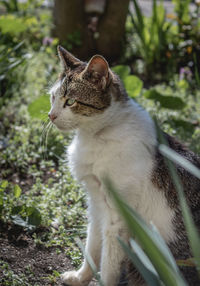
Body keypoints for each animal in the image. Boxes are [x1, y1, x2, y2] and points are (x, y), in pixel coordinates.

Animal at [48, 45, 200, 284]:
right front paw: (81, 278)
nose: (50, 115)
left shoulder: (117, 218)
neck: (96, 136)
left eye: (70, 102)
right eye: (53, 97)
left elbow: (108, 265)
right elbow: (92, 247)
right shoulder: (96, 204)